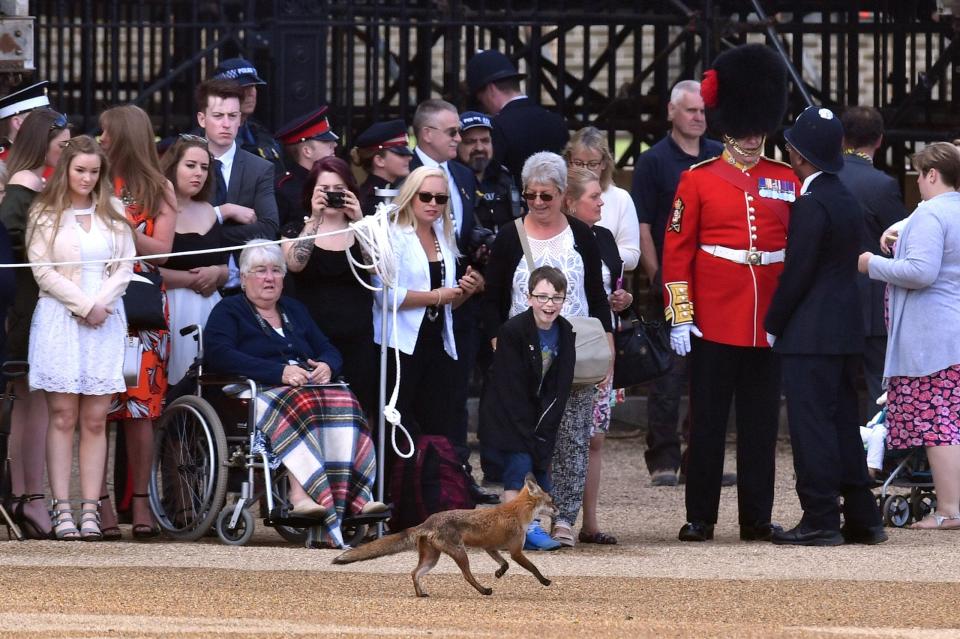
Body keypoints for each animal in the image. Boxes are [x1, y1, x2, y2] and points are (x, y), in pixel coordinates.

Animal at [332, 472, 560, 596]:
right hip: (460, 553)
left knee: (414, 572)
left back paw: (421, 594)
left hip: (432, 558)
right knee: (467, 576)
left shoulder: (491, 547)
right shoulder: (516, 551)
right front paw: (545, 581)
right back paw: (484, 591)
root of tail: (428, 520)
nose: (558, 511)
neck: (518, 513)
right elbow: (533, 568)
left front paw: (499, 572)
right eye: (551, 501)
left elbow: (504, 564)